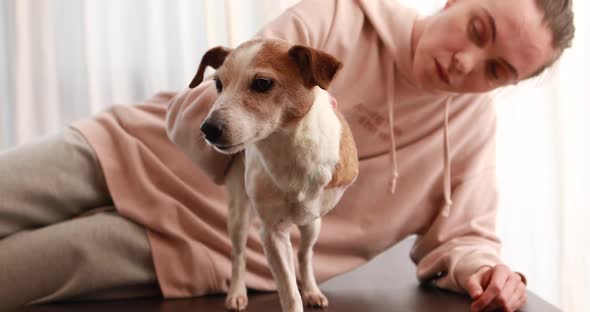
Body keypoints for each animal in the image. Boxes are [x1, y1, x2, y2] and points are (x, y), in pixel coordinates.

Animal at [190, 39, 358, 312]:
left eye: (262, 83)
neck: (285, 147)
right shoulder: (272, 234)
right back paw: (237, 293)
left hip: (312, 225)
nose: (208, 129)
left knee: (305, 254)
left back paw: (312, 290)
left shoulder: (311, 211)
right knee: (238, 254)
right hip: (238, 214)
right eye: (218, 84)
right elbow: (289, 293)